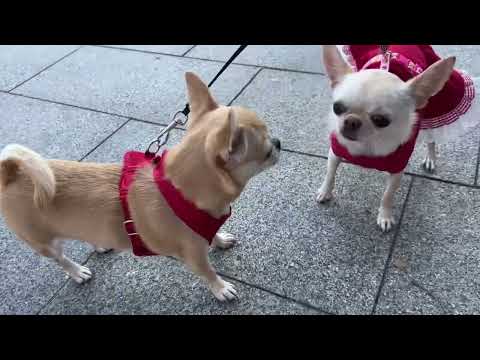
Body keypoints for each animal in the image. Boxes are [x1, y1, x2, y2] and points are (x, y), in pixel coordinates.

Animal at [0, 72, 282, 300]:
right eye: (267, 153)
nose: (279, 142)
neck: (179, 193)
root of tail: (11, 171)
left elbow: (213, 236)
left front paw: (220, 239)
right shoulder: (194, 257)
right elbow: (209, 272)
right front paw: (221, 288)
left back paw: (99, 244)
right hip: (42, 243)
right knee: (60, 258)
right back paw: (77, 271)